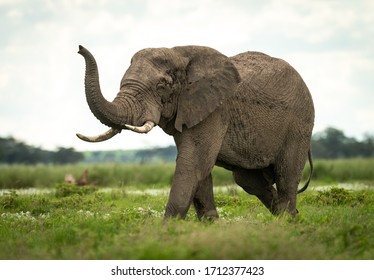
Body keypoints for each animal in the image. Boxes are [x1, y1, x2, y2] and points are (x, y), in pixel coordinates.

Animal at [77, 44, 314, 219]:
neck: (180, 54)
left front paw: (166, 231)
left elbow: (193, 164)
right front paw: (211, 227)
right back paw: (290, 218)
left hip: (299, 124)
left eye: (162, 85)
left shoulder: (215, 109)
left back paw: (287, 222)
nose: (79, 48)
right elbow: (199, 169)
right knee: (249, 181)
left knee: (286, 176)